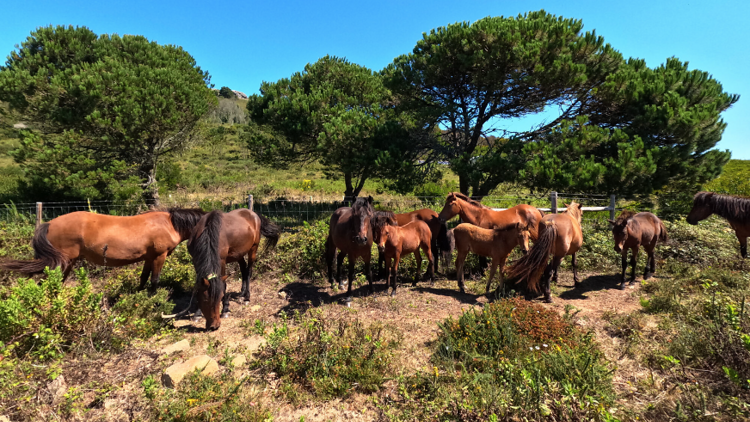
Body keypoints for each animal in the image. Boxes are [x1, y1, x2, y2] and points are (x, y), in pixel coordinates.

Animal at [0, 207, 206, 292]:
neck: (169, 224)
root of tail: (49, 224)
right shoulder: (159, 256)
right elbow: (154, 280)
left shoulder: (148, 257)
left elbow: (143, 278)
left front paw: (138, 296)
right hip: (60, 263)